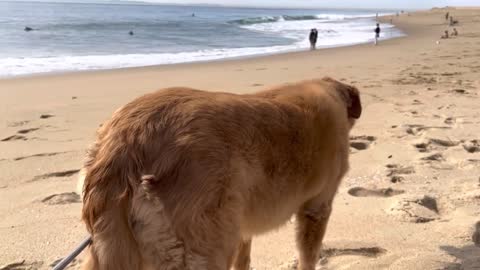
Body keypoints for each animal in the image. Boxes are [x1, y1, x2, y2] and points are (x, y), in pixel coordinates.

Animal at [79, 76, 362, 270]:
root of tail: (124, 144)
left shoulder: (243, 225)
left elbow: (244, 258)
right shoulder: (317, 208)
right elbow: (308, 257)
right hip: (205, 247)